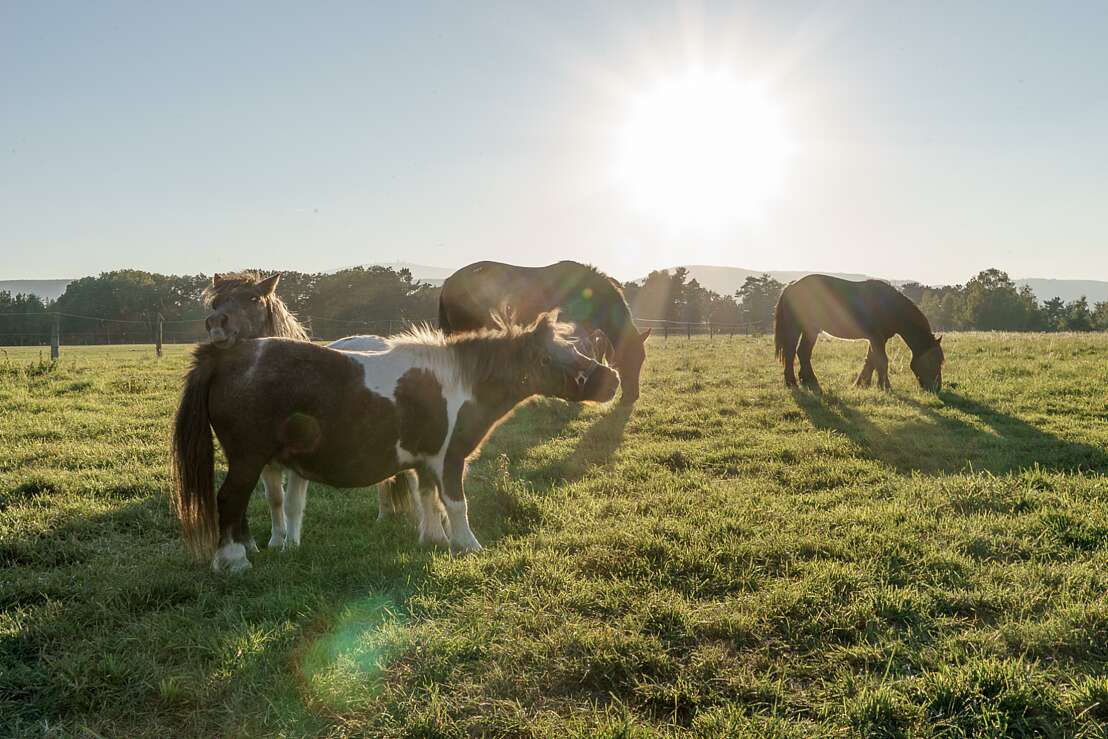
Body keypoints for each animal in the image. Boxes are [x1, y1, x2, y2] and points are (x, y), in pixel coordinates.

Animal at [173, 312, 624, 571]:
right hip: (248, 459)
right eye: (553, 355)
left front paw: (435, 539)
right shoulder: (449, 458)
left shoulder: (425, 460)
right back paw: (233, 560)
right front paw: (467, 545)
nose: (612, 379)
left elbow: (428, 499)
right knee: (230, 499)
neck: (459, 380)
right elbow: (455, 503)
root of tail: (225, 357)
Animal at [771, 274, 944, 392]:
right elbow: (882, 361)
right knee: (792, 352)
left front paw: (862, 384)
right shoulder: (876, 338)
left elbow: (871, 361)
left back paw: (808, 381)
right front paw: (885, 387)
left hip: (809, 330)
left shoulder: (878, 339)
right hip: (799, 329)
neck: (890, 307)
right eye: (934, 360)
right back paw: (792, 382)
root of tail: (792, 286)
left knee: (802, 353)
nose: (937, 388)